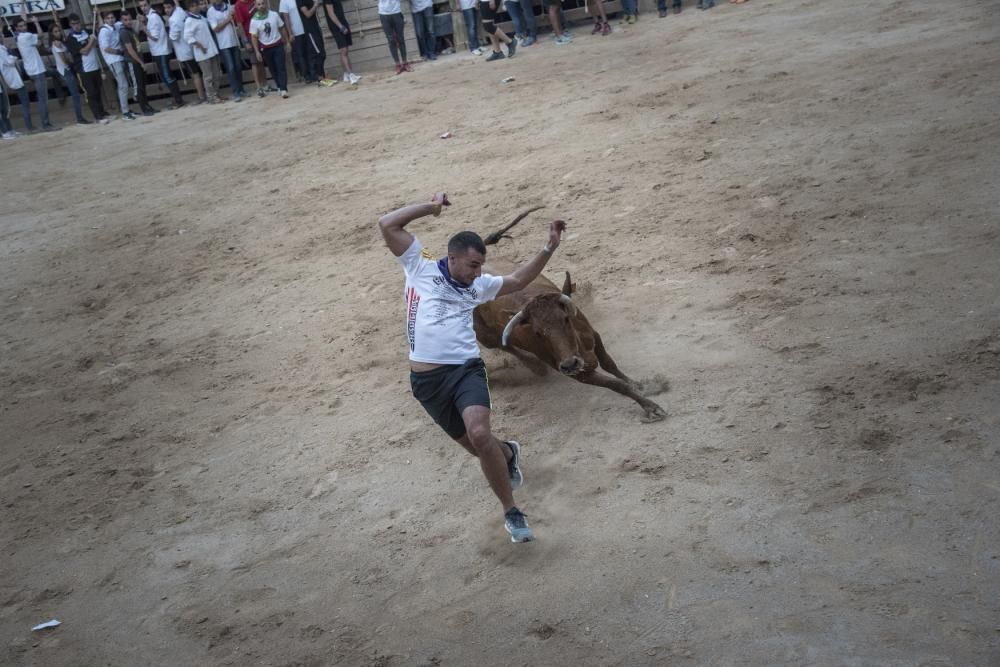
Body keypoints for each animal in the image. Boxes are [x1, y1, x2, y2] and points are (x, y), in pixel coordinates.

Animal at [472, 214, 668, 422]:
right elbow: (615, 384)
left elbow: (609, 364)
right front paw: (651, 407)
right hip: (485, 335)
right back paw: (536, 367)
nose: (570, 363)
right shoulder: (575, 373)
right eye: (537, 333)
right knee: (504, 345)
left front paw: (638, 384)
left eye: (566, 319)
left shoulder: (594, 336)